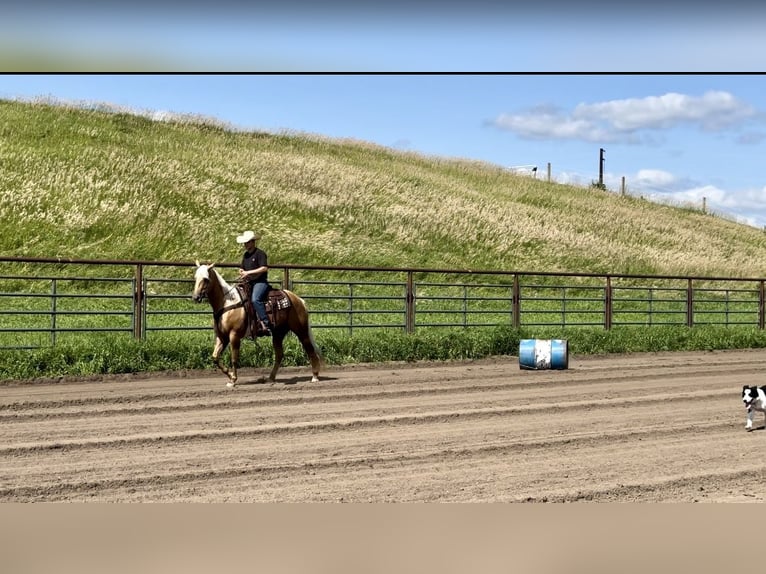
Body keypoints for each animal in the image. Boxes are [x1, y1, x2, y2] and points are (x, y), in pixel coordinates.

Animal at [195, 262, 324, 390]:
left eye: (206, 279)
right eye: (195, 277)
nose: (195, 297)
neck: (228, 302)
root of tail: (299, 300)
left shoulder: (234, 335)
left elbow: (234, 358)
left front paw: (233, 380)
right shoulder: (222, 337)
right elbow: (215, 357)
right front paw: (230, 375)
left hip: (301, 330)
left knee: (310, 350)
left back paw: (314, 376)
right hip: (278, 334)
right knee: (279, 355)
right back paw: (270, 378)